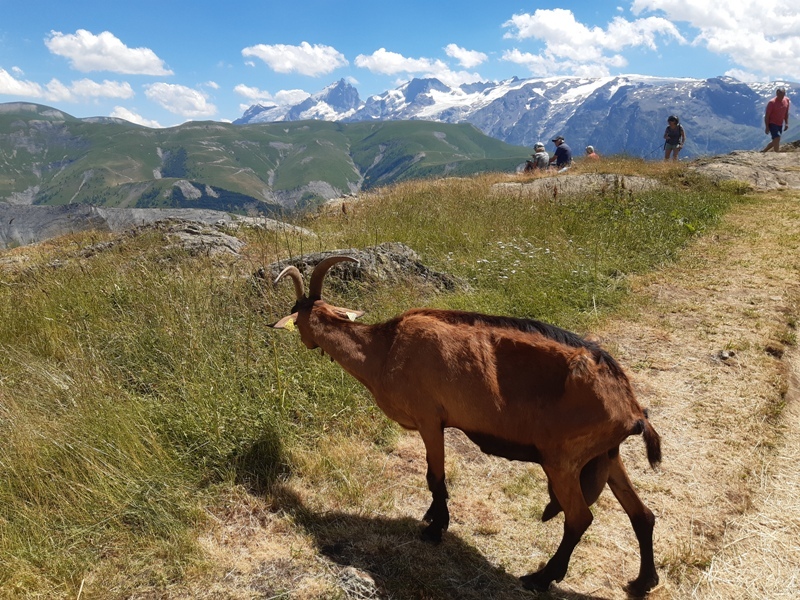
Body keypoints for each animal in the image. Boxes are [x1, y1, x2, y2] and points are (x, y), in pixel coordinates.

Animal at [272, 254, 660, 596]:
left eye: (296, 316)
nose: (307, 343)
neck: (385, 349)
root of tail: (631, 408)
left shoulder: (430, 419)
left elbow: (435, 476)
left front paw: (435, 529)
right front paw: (431, 517)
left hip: (563, 460)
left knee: (579, 518)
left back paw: (540, 578)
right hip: (606, 456)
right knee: (643, 514)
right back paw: (642, 582)